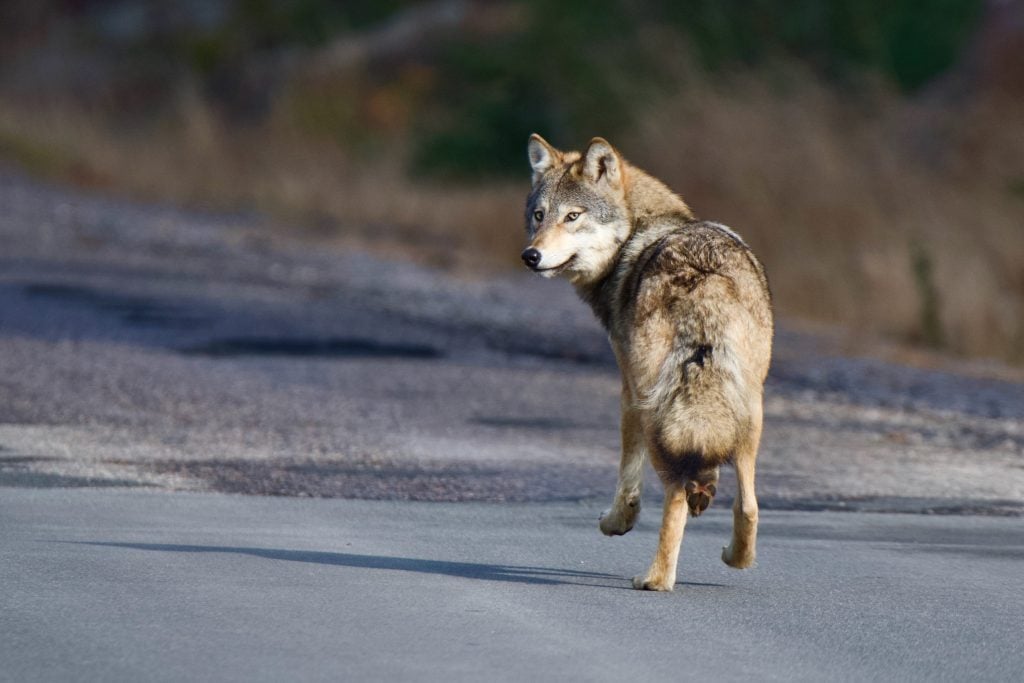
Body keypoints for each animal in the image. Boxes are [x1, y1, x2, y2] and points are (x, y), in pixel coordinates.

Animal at [522, 134, 773, 591]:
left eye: (572, 216)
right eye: (539, 215)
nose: (530, 256)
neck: (636, 235)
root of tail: (703, 281)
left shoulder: (628, 390)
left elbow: (628, 478)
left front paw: (616, 522)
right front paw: (705, 487)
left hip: (656, 409)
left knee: (673, 496)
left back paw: (655, 579)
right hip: (750, 413)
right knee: (748, 505)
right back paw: (736, 557)